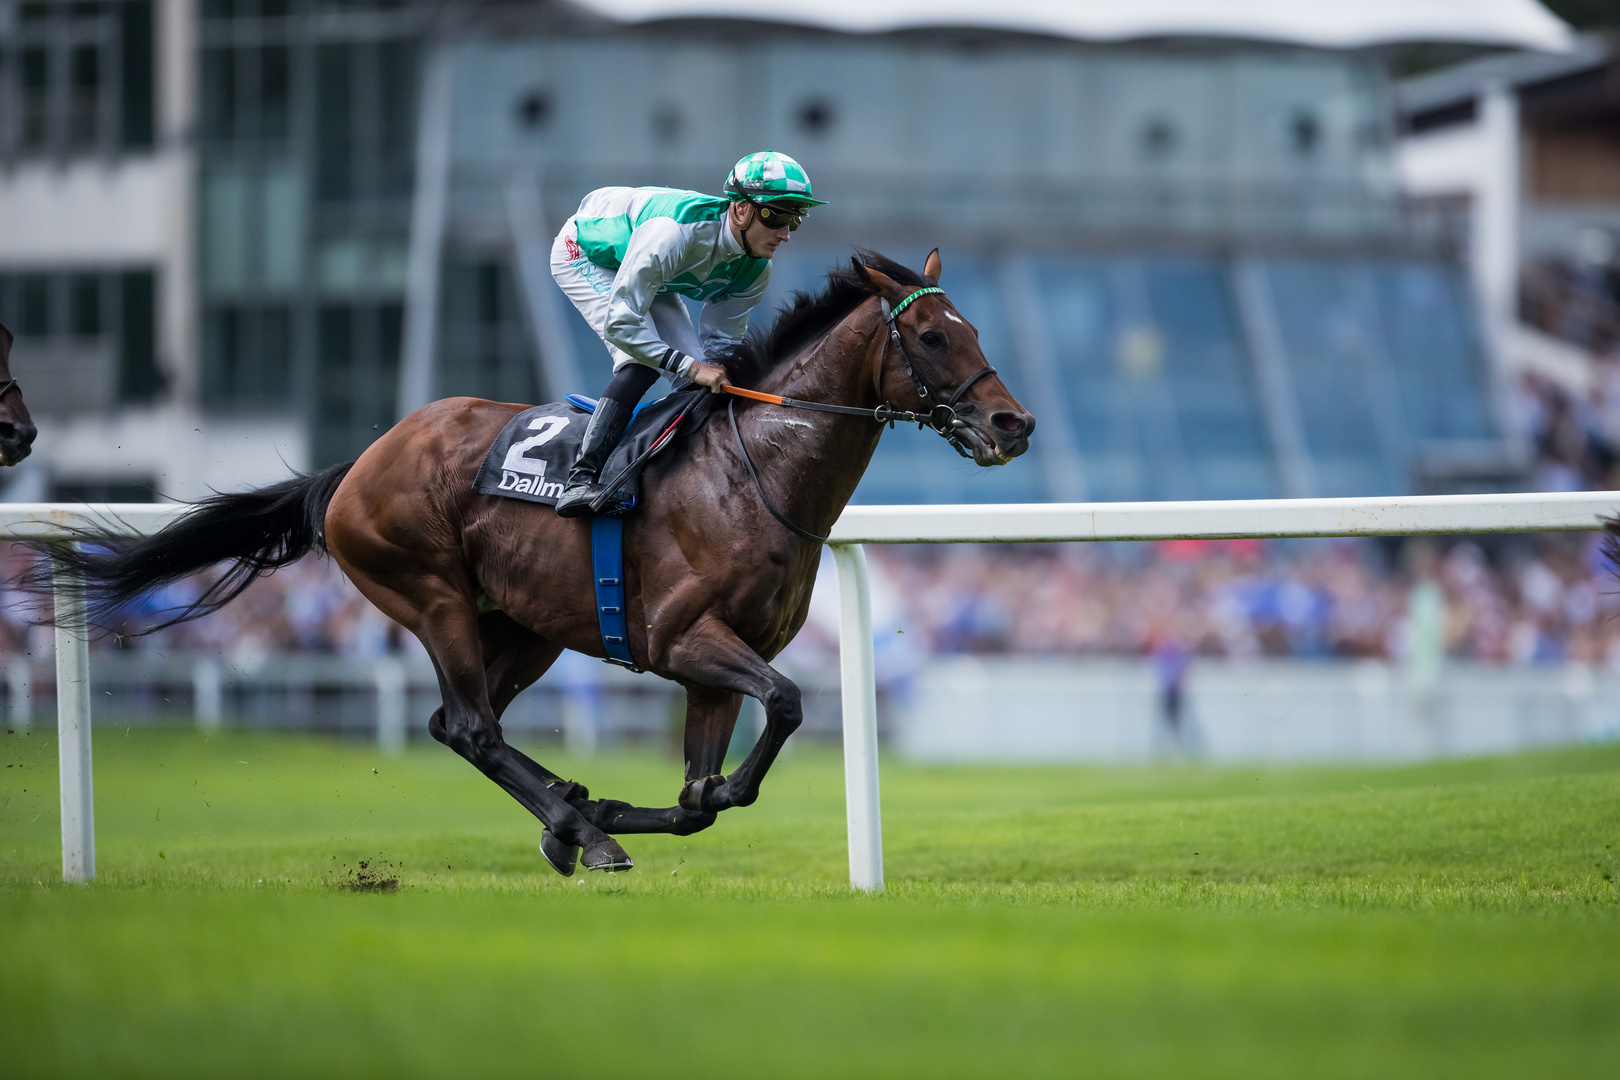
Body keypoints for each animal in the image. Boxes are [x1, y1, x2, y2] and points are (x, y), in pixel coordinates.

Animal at [50, 249, 1036, 874]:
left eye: (973, 327)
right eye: (935, 337)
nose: (1014, 423)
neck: (750, 473)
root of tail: (354, 467)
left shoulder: (714, 666)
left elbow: (703, 795)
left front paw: (624, 806)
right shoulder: (683, 640)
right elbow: (786, 709)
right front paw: (599, 815)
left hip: (529, 627)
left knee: (454, 724)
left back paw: (577, 820)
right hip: (431, 594)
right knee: (473, 727)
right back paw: (578, 826)